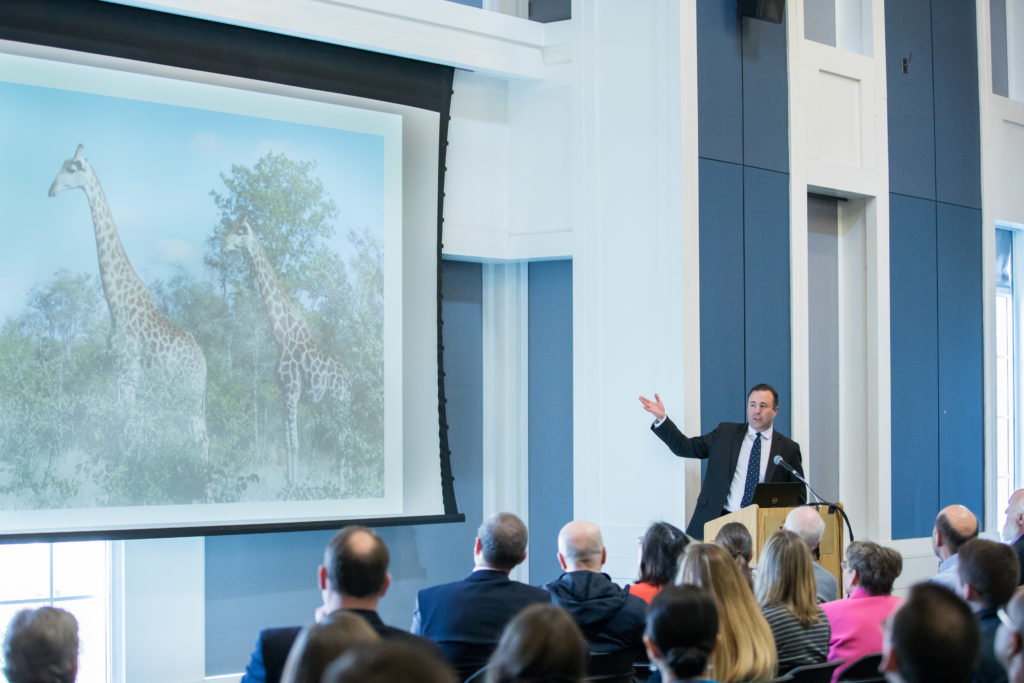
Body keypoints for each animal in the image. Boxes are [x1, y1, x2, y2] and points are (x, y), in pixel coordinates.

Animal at [48, 144, 208, 456]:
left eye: (72, 168)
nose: (51, 189)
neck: (116, 301)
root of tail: (205, 365)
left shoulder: (128, 369)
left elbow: (128, 424)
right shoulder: (117, 369)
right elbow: (128, 422)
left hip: (189, 391)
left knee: (201, 436)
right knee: (196, 434)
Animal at [220, 218, 348, 481]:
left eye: (240, 231)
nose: (223, 247)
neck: (282, 334)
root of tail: (349, 377)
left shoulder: (292, 392)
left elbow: (295, 444)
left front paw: (294, 484)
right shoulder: (284, 393)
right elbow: (287, 442)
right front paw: (289, 483)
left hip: (340, 401)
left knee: (343, 441)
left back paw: (344, 486)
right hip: (330, 403)